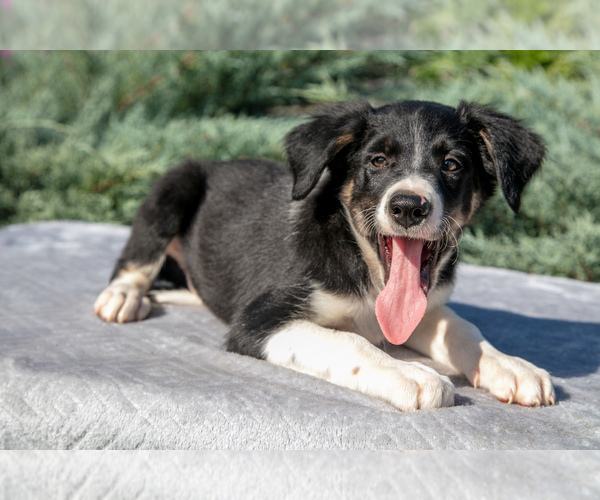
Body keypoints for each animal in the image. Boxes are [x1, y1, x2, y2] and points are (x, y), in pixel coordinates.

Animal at [95, 100, 556, 410]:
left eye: (452, 164)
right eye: (378, 160)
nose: (409, 207)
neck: (367, 272)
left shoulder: (421, 309)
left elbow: (462, 327)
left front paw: (511, 366)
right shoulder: (257, 323)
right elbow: (348, 342)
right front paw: (409, 372)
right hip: (176, 184)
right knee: (134, 260)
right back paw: (124, 296)